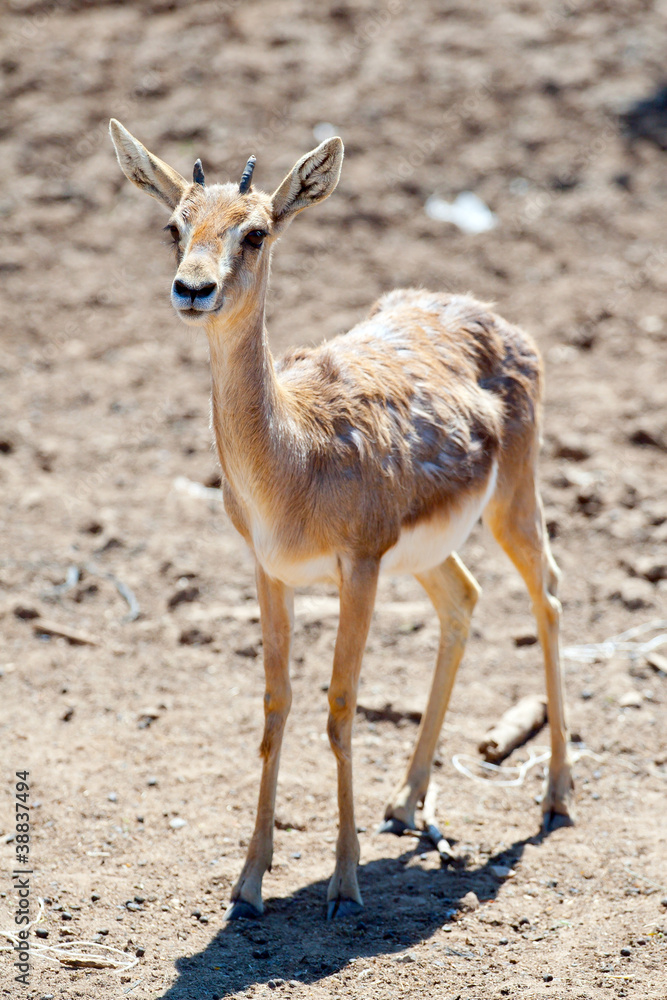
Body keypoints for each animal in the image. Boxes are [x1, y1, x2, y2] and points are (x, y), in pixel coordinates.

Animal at [109, 120, 574, 921]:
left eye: (257, 230)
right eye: (173, 224)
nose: (193, 289)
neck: (294, 457)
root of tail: (490, 315)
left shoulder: (358, 567)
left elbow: (340, 706)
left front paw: (344, 882)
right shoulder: (269, 571)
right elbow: (275, 706)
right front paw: (249, 881)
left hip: (512, 499)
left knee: (545, 593)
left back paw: (555, 796)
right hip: (426, 553)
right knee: (465, 599)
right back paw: (405, 802)